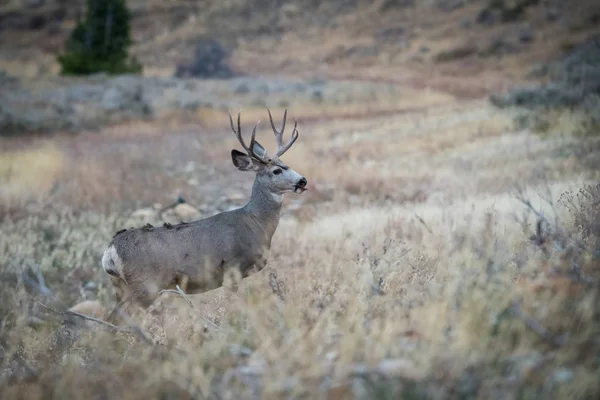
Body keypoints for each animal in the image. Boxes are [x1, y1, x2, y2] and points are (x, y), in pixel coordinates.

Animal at [101, 108, 308, 320]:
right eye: (276, 171)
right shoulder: (232, 268)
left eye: (286, 164)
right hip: (145, 285)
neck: (254, 223)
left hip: (122, 287)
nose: (303, 180)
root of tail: (109, 251)